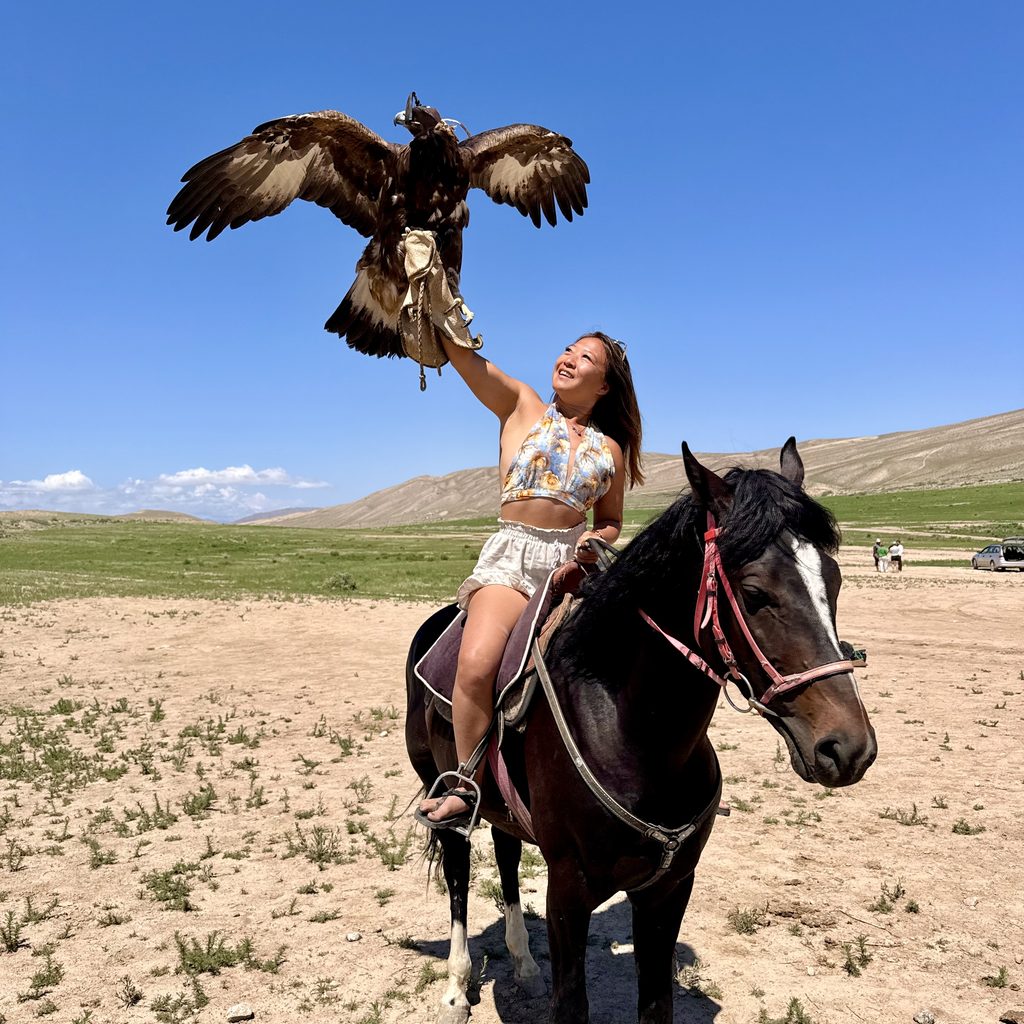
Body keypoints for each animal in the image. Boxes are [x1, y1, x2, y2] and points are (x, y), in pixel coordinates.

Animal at [405, 439, 877, 1024]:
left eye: (833, 580)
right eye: (754, 592)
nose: (848, 747)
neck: (635, 738)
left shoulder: (669, 888)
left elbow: (656, 1003)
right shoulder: (568, 890)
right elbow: (572, 1004)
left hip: (502, 806)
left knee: (508, 857)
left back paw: (524, 967)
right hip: (444, 793)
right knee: (458, 876)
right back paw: (455, 989)